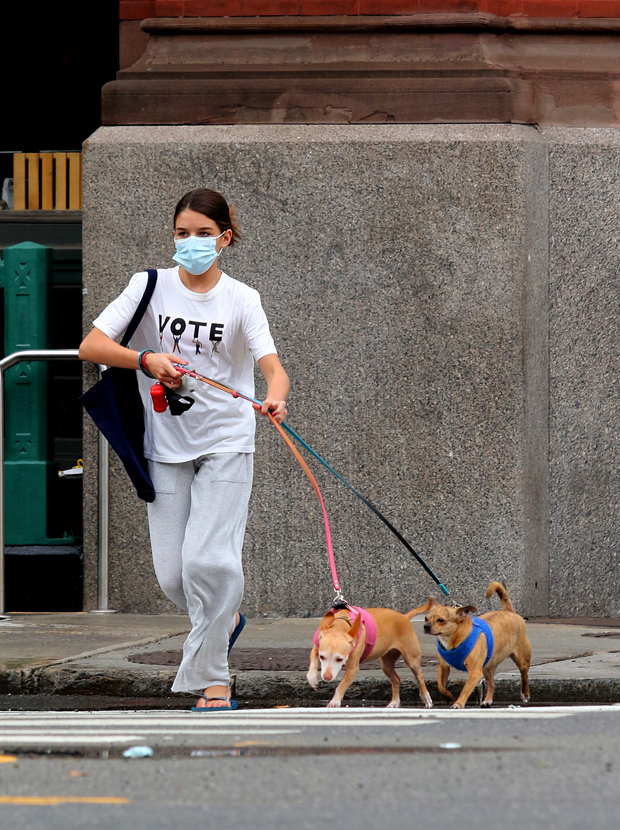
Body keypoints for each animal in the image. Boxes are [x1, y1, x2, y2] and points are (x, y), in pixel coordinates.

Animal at [422, 580, 532, 712]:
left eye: (440, 620)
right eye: (425, 618)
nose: (426, 626)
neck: (453, 639)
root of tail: (509, 611)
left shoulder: (475, 672)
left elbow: (466, 689)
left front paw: (459, 703)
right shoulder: (443, 667)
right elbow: (440, 686)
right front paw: (448, 696)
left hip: (522, 660)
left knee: (524, 675)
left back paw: (525, 694)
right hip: (487, 668)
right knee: (492, 684)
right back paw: (487, 701)